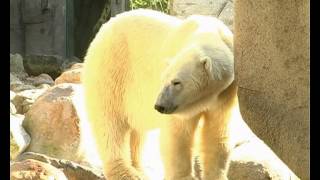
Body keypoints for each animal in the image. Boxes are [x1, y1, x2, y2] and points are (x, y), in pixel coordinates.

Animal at [82, 8, 240, 180]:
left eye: (176, 82)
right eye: (163, 80)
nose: (160, 106)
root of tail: (101, 31)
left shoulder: (225, 94)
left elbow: (216, 133)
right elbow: (177, 136)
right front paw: (184, 176)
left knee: (137, 130)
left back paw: (140, 169)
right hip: (111, 71)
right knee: (111, 123)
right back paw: (127, 173)